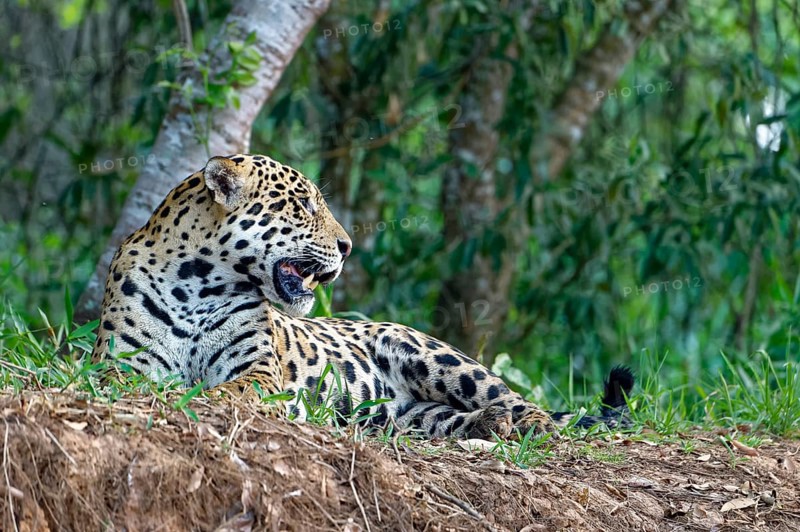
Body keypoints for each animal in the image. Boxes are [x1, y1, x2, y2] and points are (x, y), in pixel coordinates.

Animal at [92, 154, 633, 439]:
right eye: (303, 204)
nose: (349, 245)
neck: (199, 285)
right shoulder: (119, 363)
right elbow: (128, 381)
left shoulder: (260, 370)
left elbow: (237, 389)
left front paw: (202, 395)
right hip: (410, 416)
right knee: (443, 422)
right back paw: (487, 425)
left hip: (433, 355)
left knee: (521, 402)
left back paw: (526, 424)